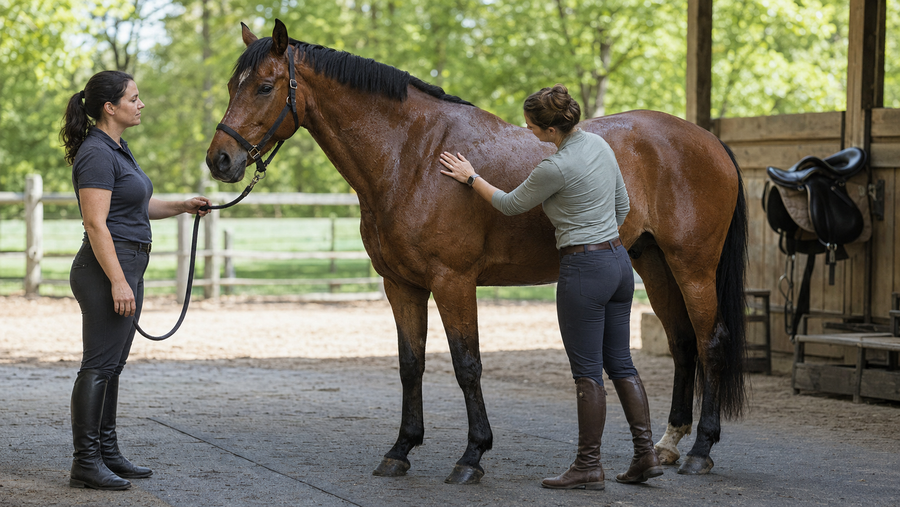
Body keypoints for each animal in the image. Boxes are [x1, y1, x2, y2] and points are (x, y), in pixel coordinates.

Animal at [206, 20, 748, 484]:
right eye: (234, 85)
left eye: (265, 86)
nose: (220, 160)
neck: (413, 158)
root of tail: (708, 140)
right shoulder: (401, 285)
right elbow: (410, 364)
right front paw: (401, 450)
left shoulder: (453, 281)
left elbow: (467, 365)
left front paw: (472, 455)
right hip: (653, 263)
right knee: (682, 344)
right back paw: (668, 446)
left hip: (693, 267)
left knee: (710, 343)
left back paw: (700, 450)